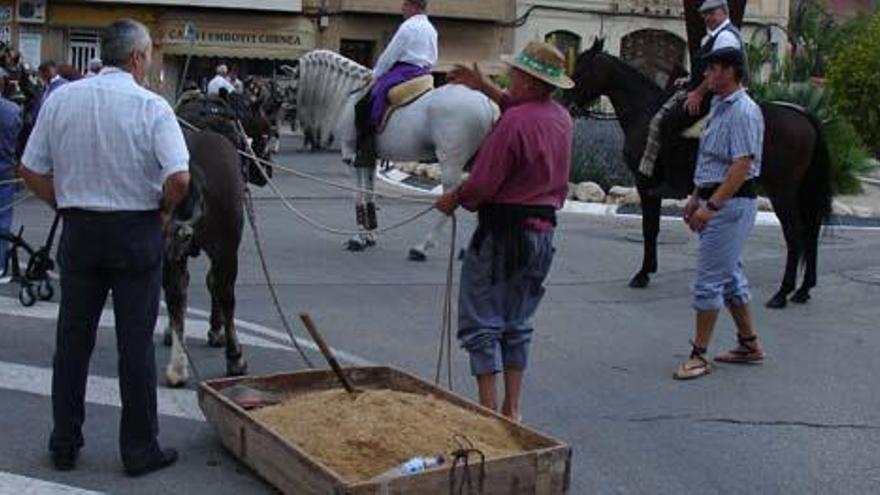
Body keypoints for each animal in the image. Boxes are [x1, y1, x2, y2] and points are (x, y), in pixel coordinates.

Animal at [288, 50, 496, 260]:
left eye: (291, 86)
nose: (289, 115)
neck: (350, 95)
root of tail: (486, 102)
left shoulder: (351, 157)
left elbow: (358, 195)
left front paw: (358, 238)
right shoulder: (369, 160)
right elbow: (369, 193)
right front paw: (370, 235)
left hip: (450, 162)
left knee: (449, 201)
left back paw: (422, 247)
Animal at [572, 39, 832, 310]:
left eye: (579, 72)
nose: (566, 103)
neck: (645, 111)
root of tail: (803, 114)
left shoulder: (645, 183)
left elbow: (649, 228)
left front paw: (642, 274)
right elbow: (652, 227)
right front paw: (648, 270)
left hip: (782, 192)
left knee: (795, 235)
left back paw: (782, 292)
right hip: (800, 192)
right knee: (811, 232)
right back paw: (803, 290)